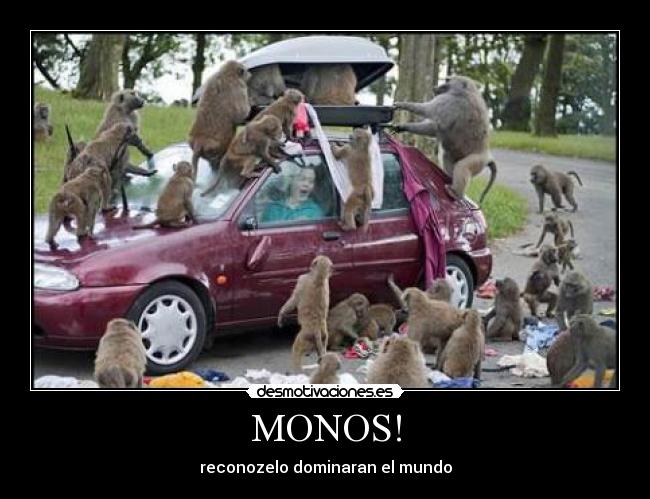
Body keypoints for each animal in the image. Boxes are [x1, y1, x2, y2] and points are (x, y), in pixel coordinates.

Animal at [393, 76, 497, 204]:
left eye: (447, 81)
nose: (434, 88)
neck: (466, 92)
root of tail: (488, 157)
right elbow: (435, 128)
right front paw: (402, 127)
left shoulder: (450, 102)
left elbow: (430, 114)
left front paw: (402, 105)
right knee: (448, 156)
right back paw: (449, 180)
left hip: (477, 161)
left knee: (462, 167)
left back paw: (455, 194)